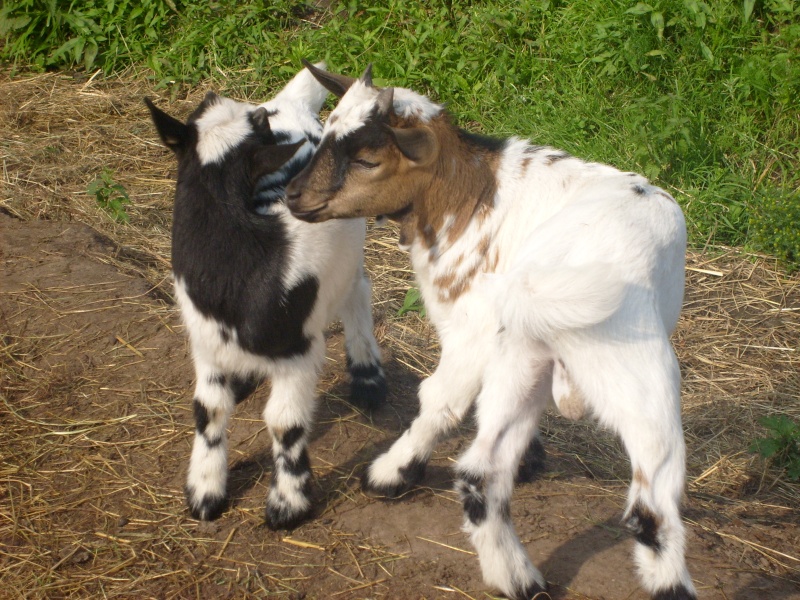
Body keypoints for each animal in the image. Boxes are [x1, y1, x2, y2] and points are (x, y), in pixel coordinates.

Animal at [149, 63, 388, 528]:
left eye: (258, 128)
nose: (262, 115)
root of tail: (289, 102)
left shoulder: (296, 351)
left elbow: (284, 424)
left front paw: (288, 504)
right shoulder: (206, 342)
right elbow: (208, 408)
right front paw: (205, 491)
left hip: (349, 247)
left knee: (356, 291)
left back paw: (368, 377)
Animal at [286, 64, 692, 600]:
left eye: (368, 159)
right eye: (326, 134)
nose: (293, 196)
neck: (469, 195)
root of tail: (562, 260)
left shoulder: (470, 326)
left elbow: (441, 400)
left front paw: (390, 473)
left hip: (598, 359)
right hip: (600, 365)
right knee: (643, 504)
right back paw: (520, 574)